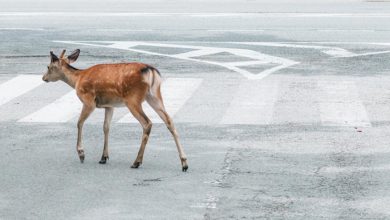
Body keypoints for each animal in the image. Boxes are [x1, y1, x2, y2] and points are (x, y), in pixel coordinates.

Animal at [42, 49, 188, 172]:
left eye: (48, 67)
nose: (43, 78)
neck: (77, 79)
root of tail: (151, 71)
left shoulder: (89, 100)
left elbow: (79, 123)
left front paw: (81, 154)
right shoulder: (109, 106)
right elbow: (106, 127)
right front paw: (103, 157)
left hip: (133, 99)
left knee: (147, 123)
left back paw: (136, 162)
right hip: (155, 95)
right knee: (169, 121)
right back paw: (184, 163)